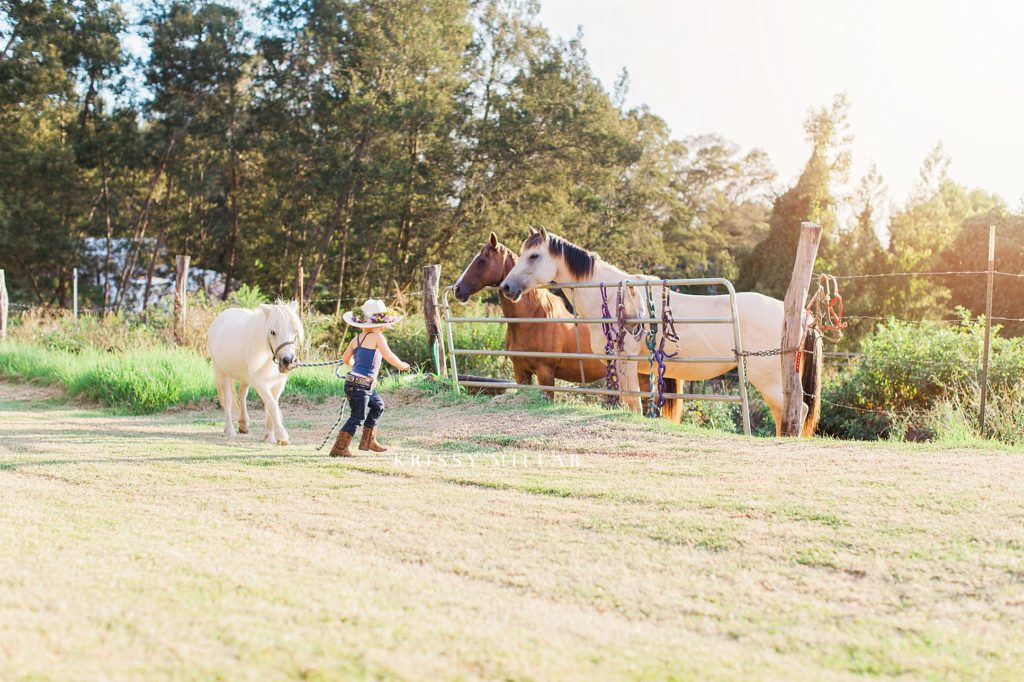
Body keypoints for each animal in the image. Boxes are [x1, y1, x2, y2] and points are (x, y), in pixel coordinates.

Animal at [206, 301, 303, 440]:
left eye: (295, 331)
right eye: (272, 332)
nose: (288, 361)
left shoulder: (279, 383)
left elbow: (272, 404)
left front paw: (269, 436)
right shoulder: (260, 382)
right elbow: (271, 404)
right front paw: (282, 435)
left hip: (245, 377)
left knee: (241, 395)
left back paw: (243, 424)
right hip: (222, 373)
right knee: (228, 400)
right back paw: (230, 431)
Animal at [497, 225, 823, 432]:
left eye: (534, 256)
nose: (506, 287)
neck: (614, 295)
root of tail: (802, 316)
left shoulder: (627, 363)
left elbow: (632, 405)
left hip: (770, 381)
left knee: (796, 412)